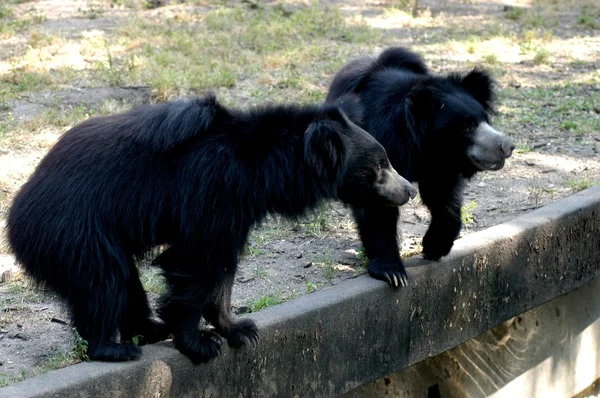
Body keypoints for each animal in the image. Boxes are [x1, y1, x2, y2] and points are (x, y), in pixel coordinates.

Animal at [5, 94, 418, 364]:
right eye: (380, 166)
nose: (410, 190)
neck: (264, 167)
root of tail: (15, 215)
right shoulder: (213, 191)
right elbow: (197, 260)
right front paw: (200, 343)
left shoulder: (237, 210)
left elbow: (222, 269)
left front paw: (239, 329)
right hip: (76, 230)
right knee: (103, 280)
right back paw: (115, 348)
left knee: (123, 280)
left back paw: (150, 328)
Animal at [326, 47, 512, 286]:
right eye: (467, 127)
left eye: (485, 120)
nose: (507, 146)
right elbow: (376, 207)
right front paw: (392, 272)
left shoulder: (439, 166)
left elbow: (442, 197)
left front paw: (434, 246)